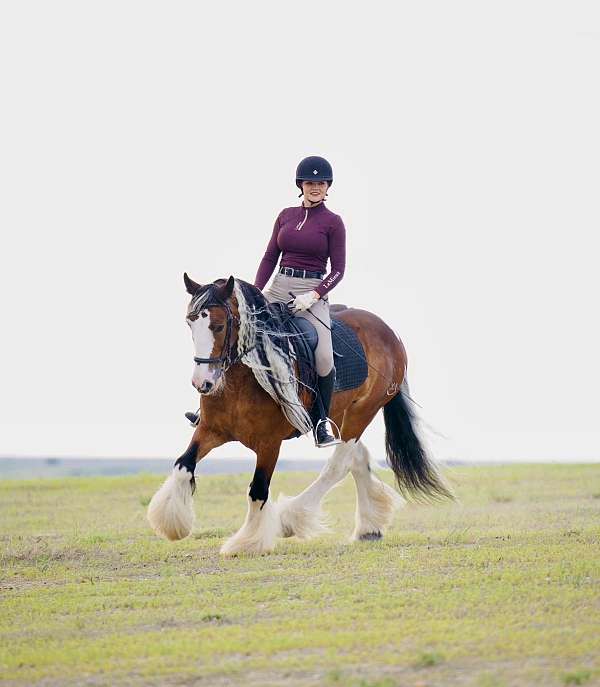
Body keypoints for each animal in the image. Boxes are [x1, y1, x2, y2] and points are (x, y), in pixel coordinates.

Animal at [147, 274, 453, 555]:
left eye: (219, 325)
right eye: (190, 323)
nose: (203, 383)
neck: (244, 376)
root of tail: (389, 332)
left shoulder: (269, 444)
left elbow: (258, 490)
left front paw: (247, 543)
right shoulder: (211, 430)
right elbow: (183, 465)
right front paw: (173, 524)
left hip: (361, 412)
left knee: (339, 463)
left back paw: (291, 518)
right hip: (339, 414)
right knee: (357, 457)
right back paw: (369, 526)